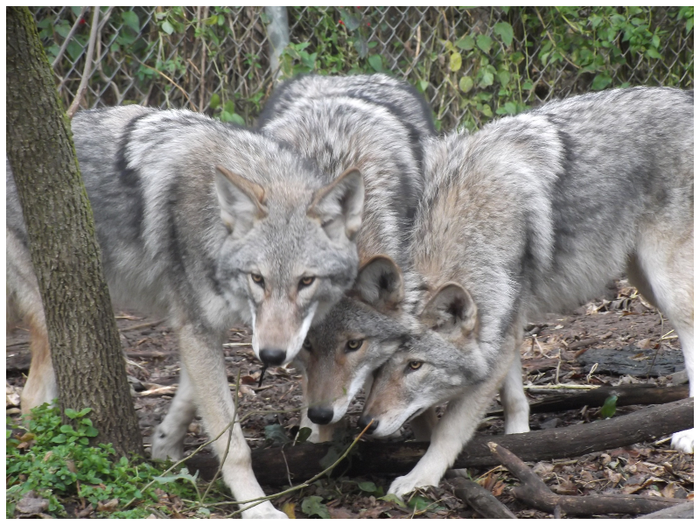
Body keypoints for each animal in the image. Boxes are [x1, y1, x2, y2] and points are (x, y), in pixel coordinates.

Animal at [8, 104, 370, 516]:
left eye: (306, 281)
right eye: (258, 279)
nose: (272, 356)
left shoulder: (198, 328)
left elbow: (187, 398)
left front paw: (165, 448)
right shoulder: (197, 328)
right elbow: (233, 444)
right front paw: (258, 508)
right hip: (55, 316)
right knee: (31, 399)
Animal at [358, 87, 692, 496]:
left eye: (415, 366)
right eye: (377, 368)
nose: (366, 424)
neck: (469, 222)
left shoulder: (498, 336)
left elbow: (451, 428)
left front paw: (419, 476)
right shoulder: (507, 324)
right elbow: (515, 396)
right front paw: (518, 442)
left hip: (668, 286)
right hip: (645, 281)